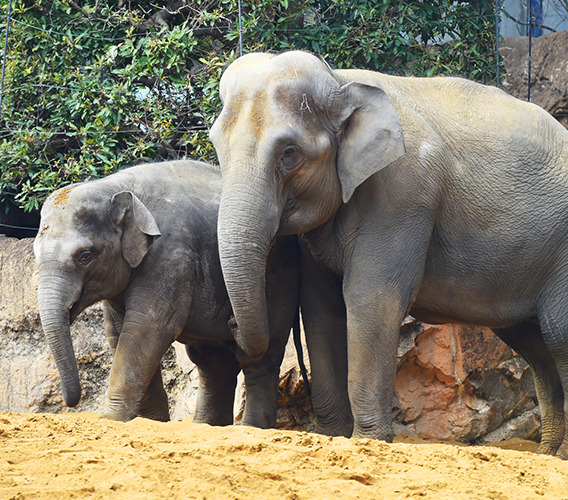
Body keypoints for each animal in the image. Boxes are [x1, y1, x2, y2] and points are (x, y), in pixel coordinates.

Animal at [33, 159, 300, 426]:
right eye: (35, 254)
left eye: (85, 257)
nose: (233, 322)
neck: (115, 186)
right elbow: (119, 331)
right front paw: (152, 421)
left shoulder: (172, 256)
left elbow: (146, 327)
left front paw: (111, 419)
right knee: (213, 361)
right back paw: (205, 426)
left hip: (278, 276)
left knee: (259, 358)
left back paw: (251, 427)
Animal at [210, 50, 568, 458]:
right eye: (216, 145)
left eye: (289, 152)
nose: (231, 325)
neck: (340, 81)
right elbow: (321, 309)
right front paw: (333, 437)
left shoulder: (403, 192)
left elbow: (370, 299)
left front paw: (367, 442)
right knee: (534, 346)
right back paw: (549, 454)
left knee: (558, 335)